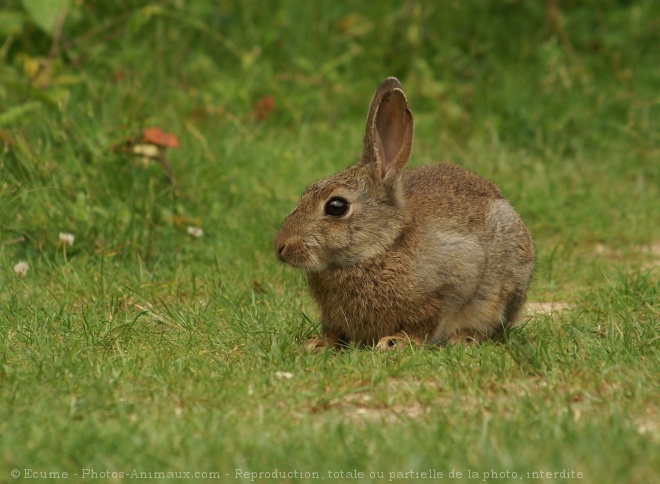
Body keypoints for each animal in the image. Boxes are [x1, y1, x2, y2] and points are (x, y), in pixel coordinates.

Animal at [274, 79, 536, 352]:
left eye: (336, 206)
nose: (280, 246)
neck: (380, 247)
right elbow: (333, 331)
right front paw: (318, 344)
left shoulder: (453, 279)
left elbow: (426, 321)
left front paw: (395, 342)